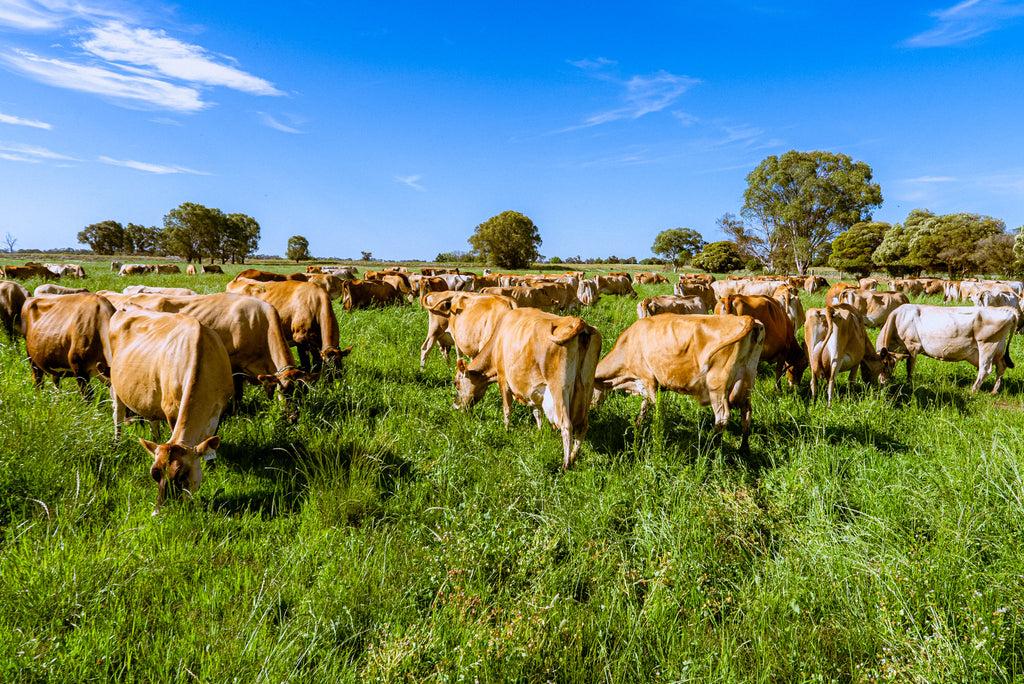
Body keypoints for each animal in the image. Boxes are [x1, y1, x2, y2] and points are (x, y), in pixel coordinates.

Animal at [110, 307, 234, 509]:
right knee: (118, 415)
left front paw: (211, 466)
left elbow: (209, 442)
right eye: (154, 475)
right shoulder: (171, 410)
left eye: (182, 475)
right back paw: (116, 443)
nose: (159, 512)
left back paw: (154, 439)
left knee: (151, 420)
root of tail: (126, 307)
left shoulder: (220, 407)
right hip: (115, 382)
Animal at [454, 309, 598, 471]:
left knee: (566, 426)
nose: (455, 406)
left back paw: (565, 466)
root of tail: (579, 322)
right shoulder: (535, 389)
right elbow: (537, 412)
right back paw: (573, 458)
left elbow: (507, 409)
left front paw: (507, 430)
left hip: (559, 389)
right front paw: (540, 432)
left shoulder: (503, 378)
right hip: (587, 387)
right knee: (582, 426)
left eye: (456, 383)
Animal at [589, 313, 765, 450]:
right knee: (746, 414)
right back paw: (744, 449)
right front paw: (637, 427)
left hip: (717, 386)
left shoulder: (648, 379)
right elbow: (644, 407)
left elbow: (657, 410)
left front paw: (658, 435)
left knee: (722, 417)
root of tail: (746, 318)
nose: (591, 409)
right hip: (747, 380)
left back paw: (710, 450)